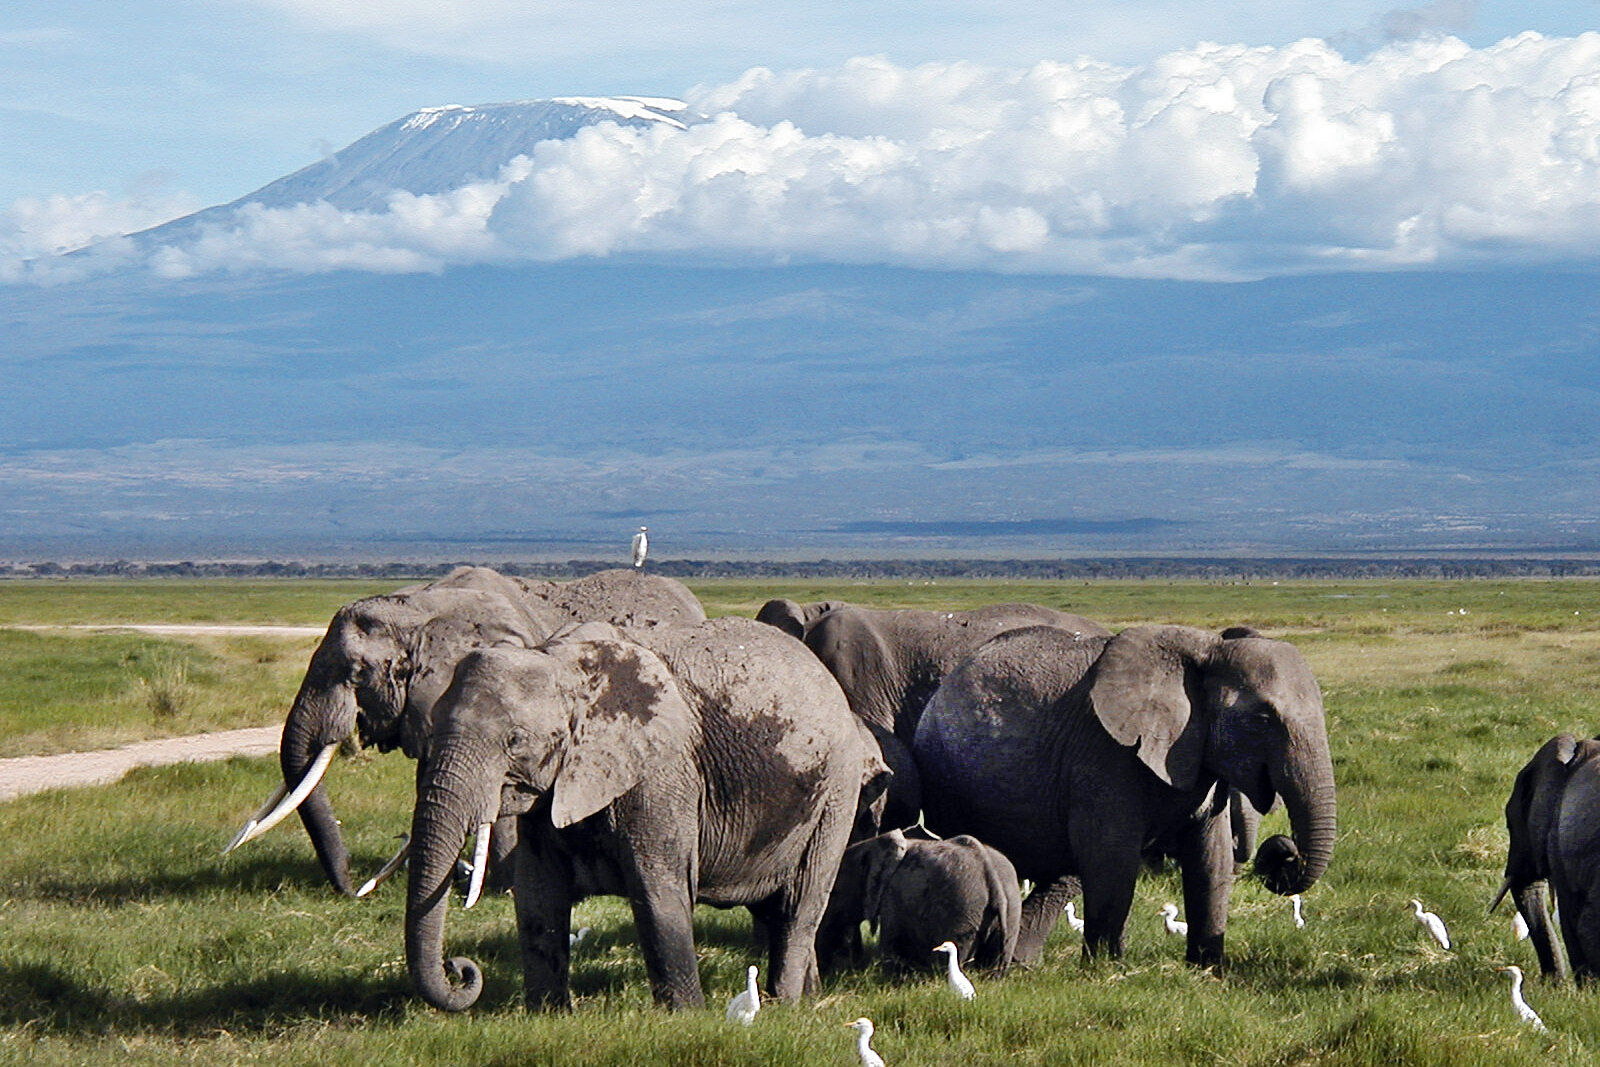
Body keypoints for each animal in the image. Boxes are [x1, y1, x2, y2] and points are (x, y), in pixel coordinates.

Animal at [404, 616, 884, 1012]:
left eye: (515, 741)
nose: (460, 967)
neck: (563, 664)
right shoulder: (552, 793)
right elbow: (538, 896)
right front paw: (548, 1015)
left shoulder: (662, 775)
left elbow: (658, 893)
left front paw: (687, 1017)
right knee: (774, 910)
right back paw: (809, 998)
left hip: (836, 793)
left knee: (800, 906)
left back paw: (783, 1005)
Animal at [817, 828, 1021, 976]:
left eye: (834, 893)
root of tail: (990, 873)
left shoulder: (893, 896)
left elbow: (892, 945)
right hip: (1010, 909)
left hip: (961, 911)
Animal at [913, 624, 1336, 967]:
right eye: (1263, 719)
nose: (1283, 854)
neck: (1207, 650)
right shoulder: (1104, 755)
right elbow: (1112, 858)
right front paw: (1105, 969)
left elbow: (1210, 857)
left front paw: (1207, 969)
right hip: (947, 778)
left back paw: (1018, 964)